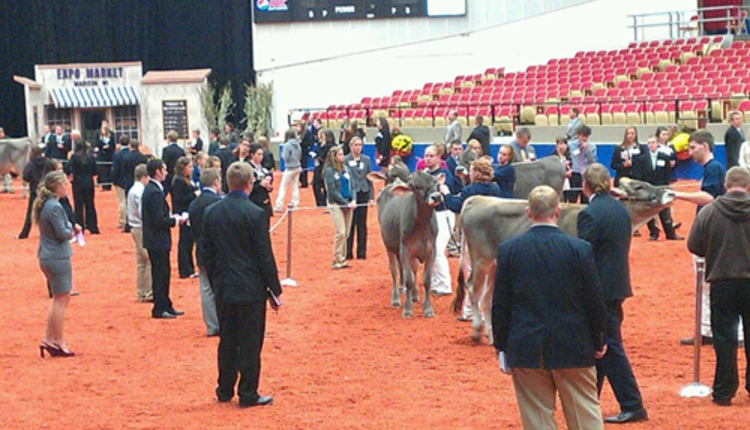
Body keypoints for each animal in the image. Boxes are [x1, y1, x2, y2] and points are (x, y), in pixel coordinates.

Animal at [456, 177, 680, 342]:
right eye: (639, 186)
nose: (670, 192)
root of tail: (476, 199)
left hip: (494, 263)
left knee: (486, 297)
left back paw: (491, 334)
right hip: (481, 259)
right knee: (473, 288)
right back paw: (477, 330)